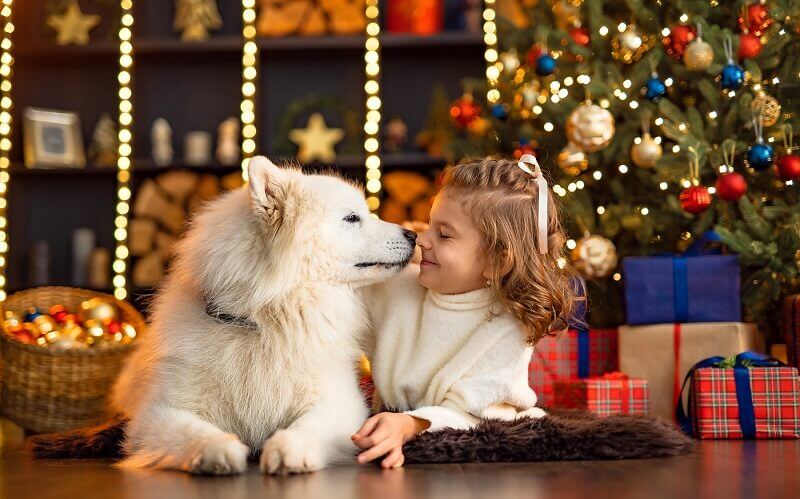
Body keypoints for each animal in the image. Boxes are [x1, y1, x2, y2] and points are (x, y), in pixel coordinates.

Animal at [109, 157, 416, 476]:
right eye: (352, 218)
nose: (413, 235)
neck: (265, 322)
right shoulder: (156, 414)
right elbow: (192, 431)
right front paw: (219, 450)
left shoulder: (341, 403)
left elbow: (308, 426)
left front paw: (288, 450)